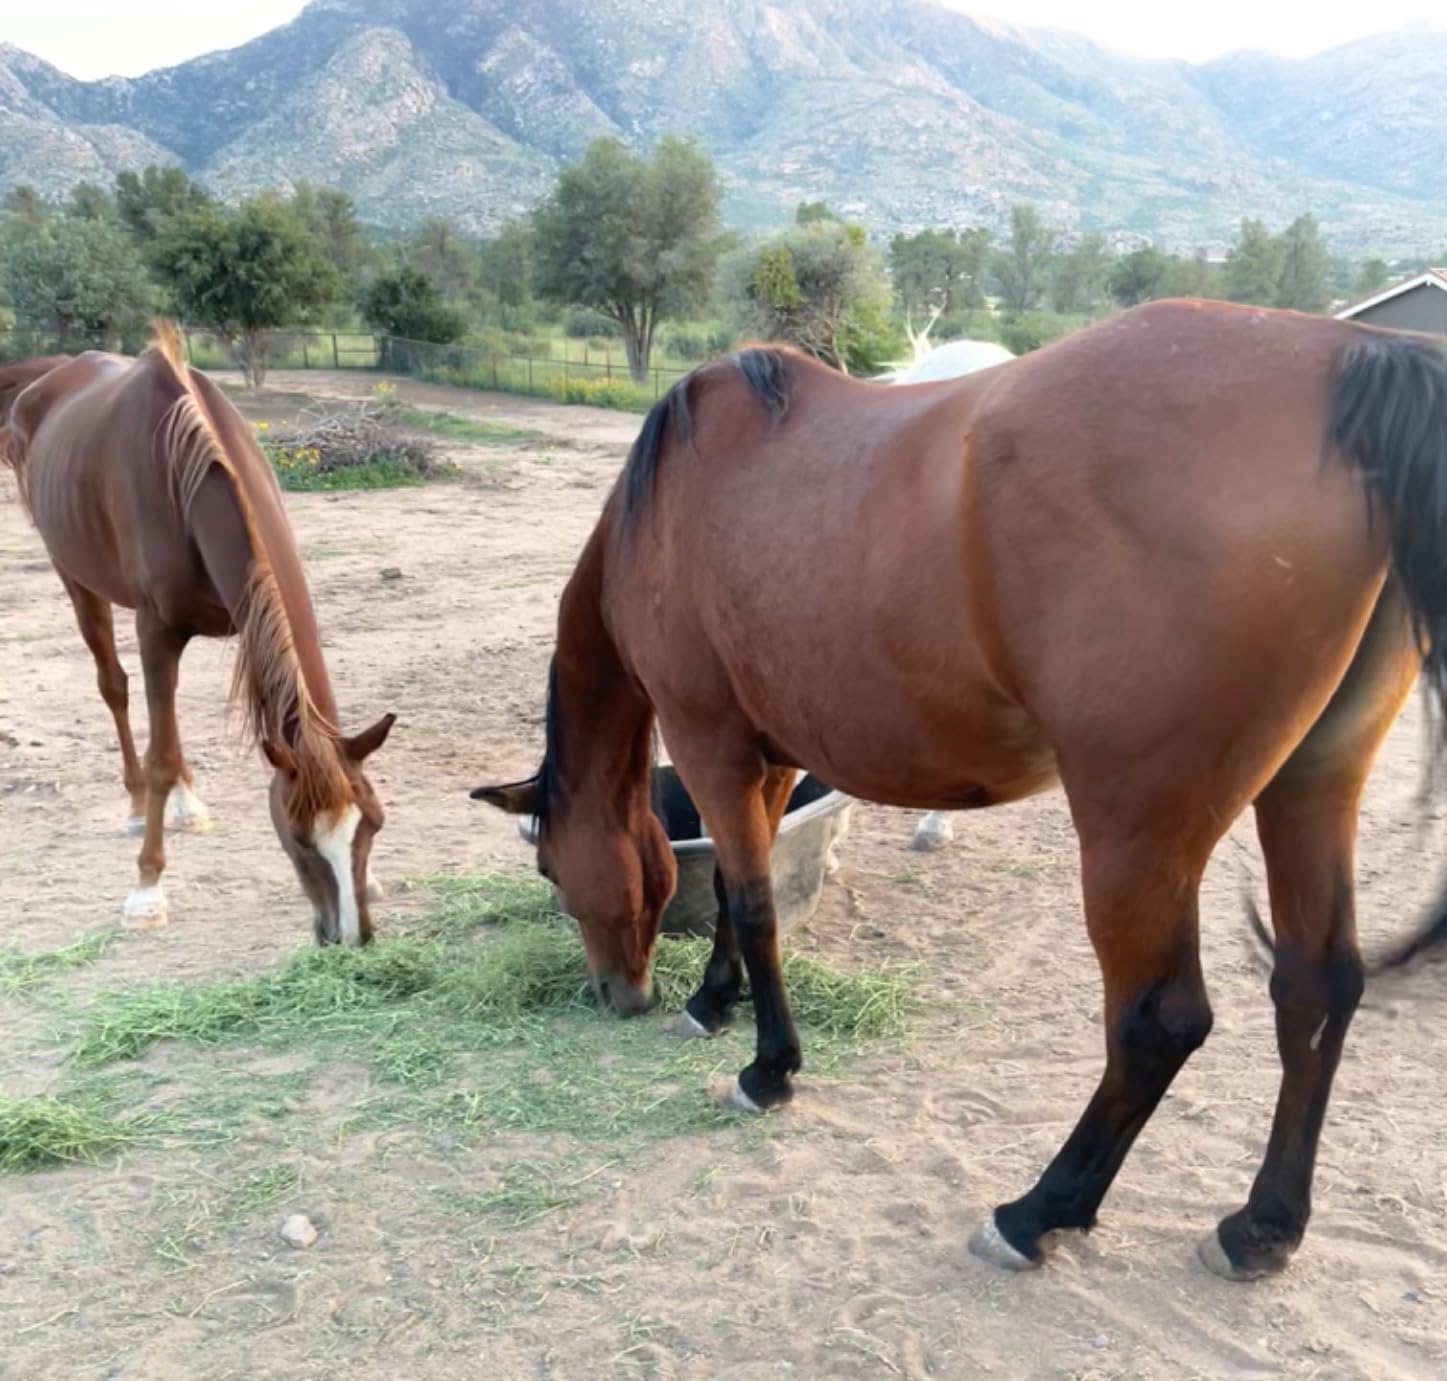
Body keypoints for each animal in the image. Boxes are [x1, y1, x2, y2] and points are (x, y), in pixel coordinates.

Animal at [5, 328, 395, 942]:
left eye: (373, 824)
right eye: (299, 838)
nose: (351, 938)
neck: (191, 474)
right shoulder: (156, 629)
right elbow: (159, 755)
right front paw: (146, 889)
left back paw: (186, 803)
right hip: (75, 577)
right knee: (114, 688)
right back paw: (137, 805)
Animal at [473, 297, 1447, 1282]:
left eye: (550, 872)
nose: (615, 994)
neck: (668, 503)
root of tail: (1350, 357)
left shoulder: (708, 741)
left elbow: (748, 903)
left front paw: (766, 1067)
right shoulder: (770, 754)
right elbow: (738, 898)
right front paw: (716, 1000)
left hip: (1139, 830)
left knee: (1158, 1020)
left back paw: (1037, 1211)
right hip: (1309, 789)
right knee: (1315, 987)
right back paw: (1261, 1225)